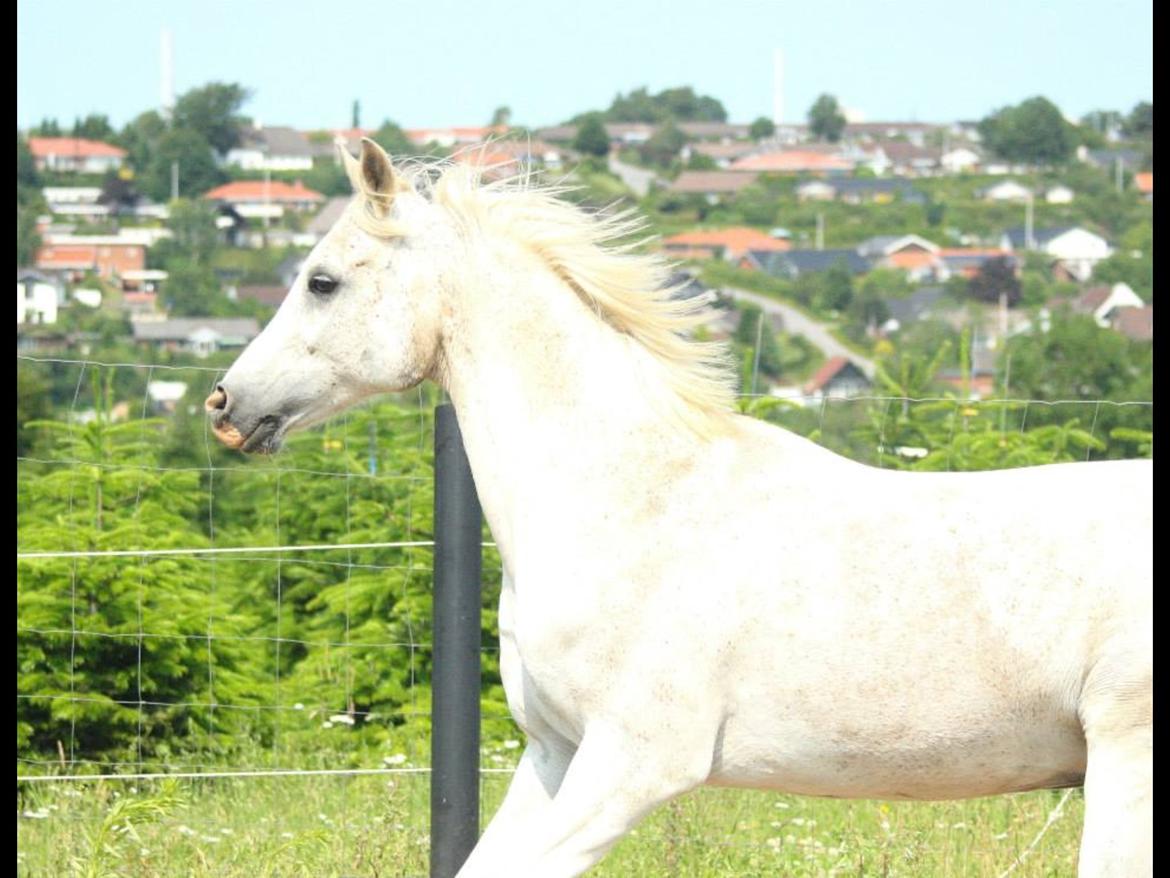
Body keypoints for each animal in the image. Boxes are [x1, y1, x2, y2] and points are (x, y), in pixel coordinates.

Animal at [208, 141, 1151, 875]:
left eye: (322, 282)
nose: (225, 405)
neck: (629, 503)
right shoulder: (554, 756)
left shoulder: (633, 767)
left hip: (1126, 761)